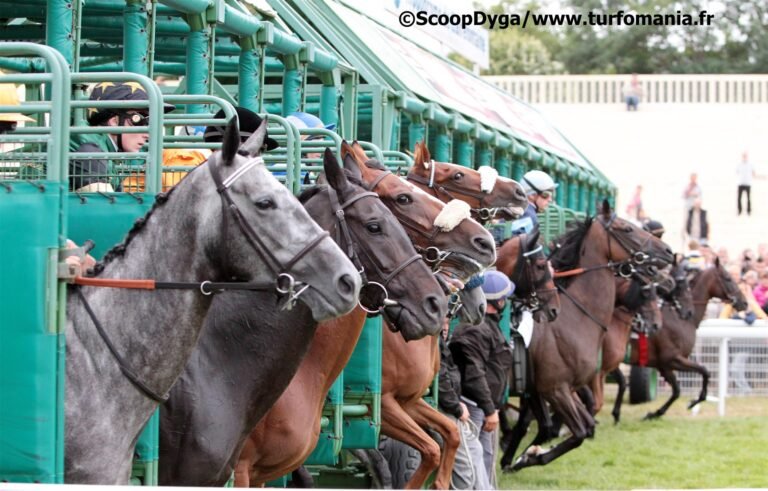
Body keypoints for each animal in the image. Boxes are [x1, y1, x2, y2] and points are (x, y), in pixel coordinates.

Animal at [500, 201, 673, 472]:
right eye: (627, 228)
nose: (667, 251)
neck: (577, 318)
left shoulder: (550, 388)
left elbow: (575, 426)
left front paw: (520, 456)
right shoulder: (556, 389)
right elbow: (577, 432)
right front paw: (526, 457)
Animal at [620, 257, 747, 420]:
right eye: (728, 278)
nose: (744, 302)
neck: (680, 316)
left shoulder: (663, 365)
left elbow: (677, 390)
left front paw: (656, 413)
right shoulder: (672, 359)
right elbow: (704, 371)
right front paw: (692, 402)